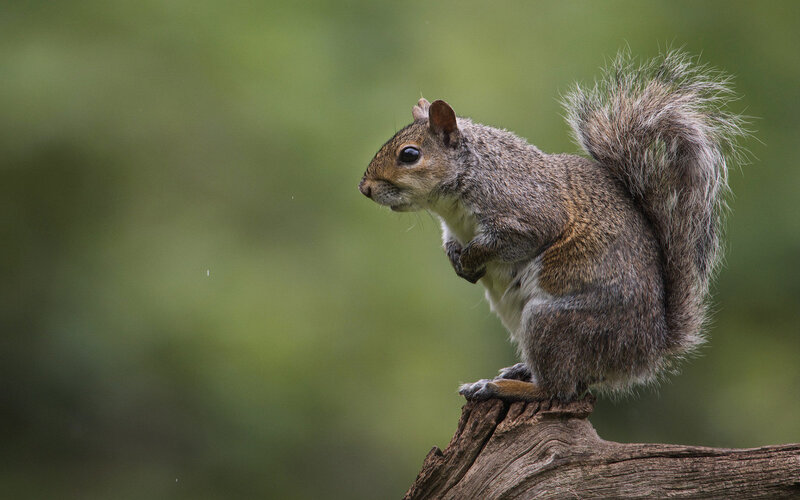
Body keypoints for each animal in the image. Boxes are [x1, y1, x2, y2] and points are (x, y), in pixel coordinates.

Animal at [358, 51, 746, 401]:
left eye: (410, 155)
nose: (365, 188)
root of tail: (644, 354)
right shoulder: (453, 228)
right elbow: (450, 243)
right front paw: (458, 260)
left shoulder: (528, 211)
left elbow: (508, 241)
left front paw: (471, 258)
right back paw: (517, 371)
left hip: (553, 323)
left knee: (558, 389)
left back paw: (502, 387)